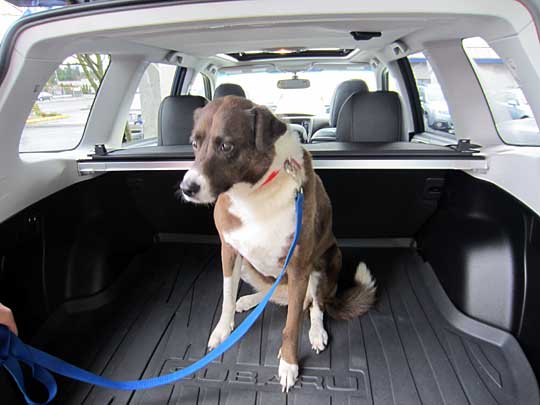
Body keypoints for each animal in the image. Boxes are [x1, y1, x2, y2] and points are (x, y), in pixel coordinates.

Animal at [181, 95, 376, 392]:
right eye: (194, 143)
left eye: (226, 146)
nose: (187, 188)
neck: (253, 193)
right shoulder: (229, 251)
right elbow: (226, 296)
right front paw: (223, 331)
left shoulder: (298, 267)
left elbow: (292, 325)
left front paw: (289, 364)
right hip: (249, 266)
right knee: (272, 294)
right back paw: (250, 300)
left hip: (324, 263)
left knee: (316, 306)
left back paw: (316, 331)